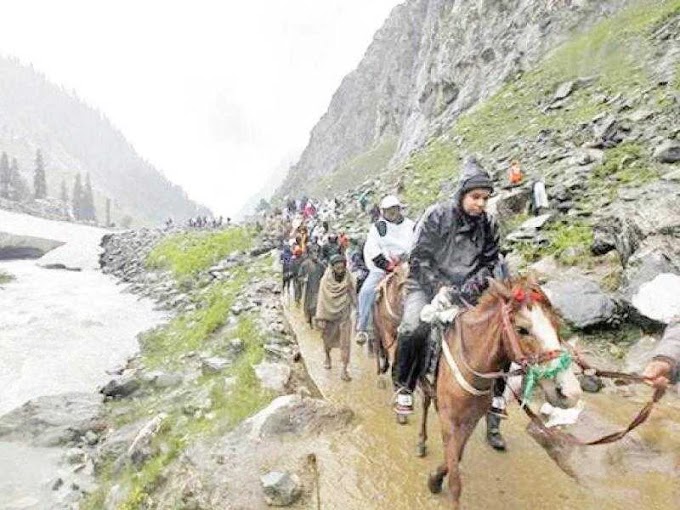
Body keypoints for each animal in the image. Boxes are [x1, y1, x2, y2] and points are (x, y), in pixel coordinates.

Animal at [424, 276, 580, 508]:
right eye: (522, 329)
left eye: (556, 325)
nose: (570, 393)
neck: (470, 363)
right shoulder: (448, 418)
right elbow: (455, 480)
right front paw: (438, 482)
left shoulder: (470, 420)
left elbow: (455, 459)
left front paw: (434, 479)